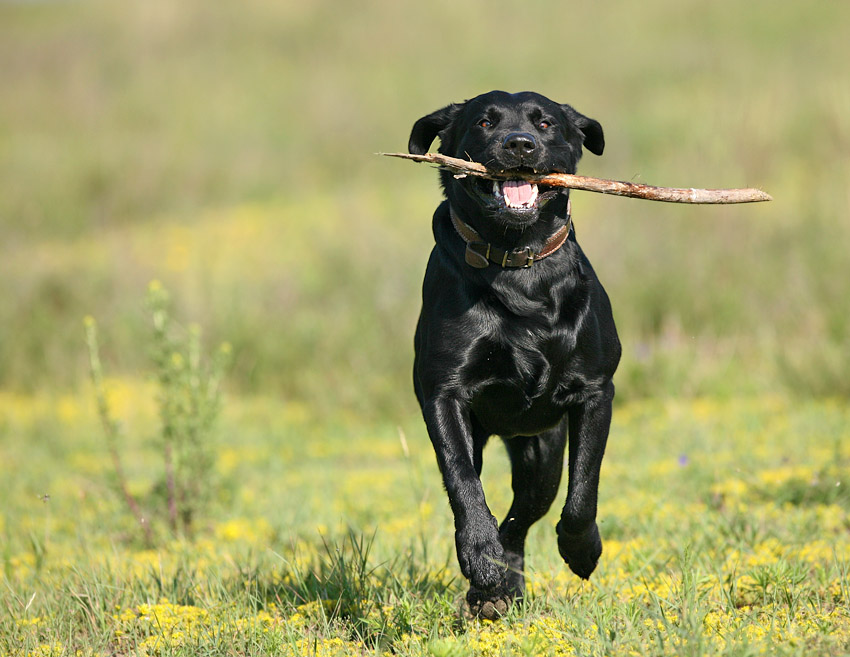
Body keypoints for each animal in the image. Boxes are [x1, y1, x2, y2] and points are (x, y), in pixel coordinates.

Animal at [408, 91, 620, 616]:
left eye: (544, 123)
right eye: (485, 122)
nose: (519, 144)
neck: (516, 262)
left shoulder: (595, 392)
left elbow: (584, 486)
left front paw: (582, 549)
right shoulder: (443, 394)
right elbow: (462, 481)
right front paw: (480, 558)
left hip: (541, 448)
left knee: (526, 511)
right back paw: (493, 586)